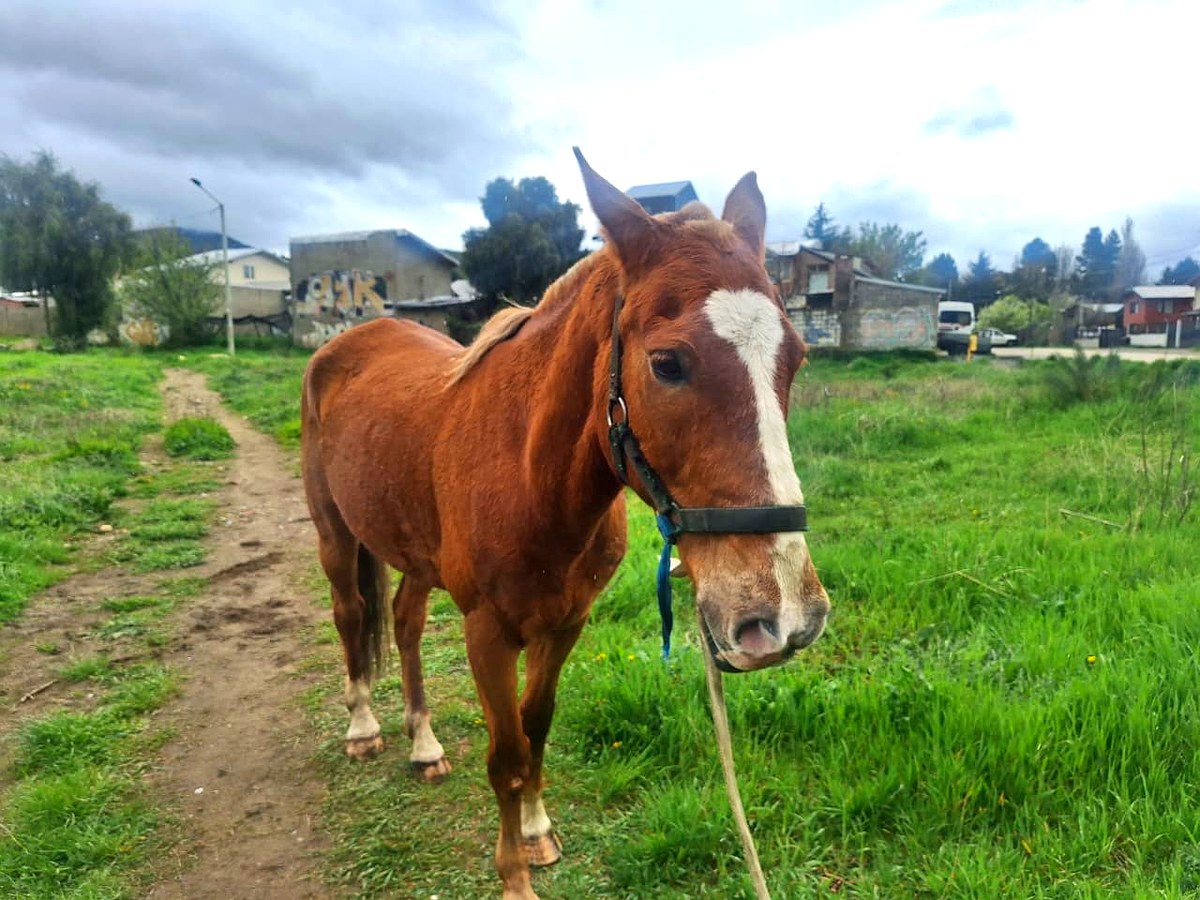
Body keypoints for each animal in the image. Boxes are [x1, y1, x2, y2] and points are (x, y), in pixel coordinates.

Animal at [300, 149, 831, 900]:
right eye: (666, 363)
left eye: (795, 358)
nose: (784, 618)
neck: (531, 478)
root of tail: (345, 341)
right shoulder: (488, 633)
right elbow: (506, 754)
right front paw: (514, 877)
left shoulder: (566, 624)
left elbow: (537, 728)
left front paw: (536, 831)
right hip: (335, 535)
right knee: (352, 616)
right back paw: (364, 728)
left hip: (413, 552)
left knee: (403, 622)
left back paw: (424, 744)